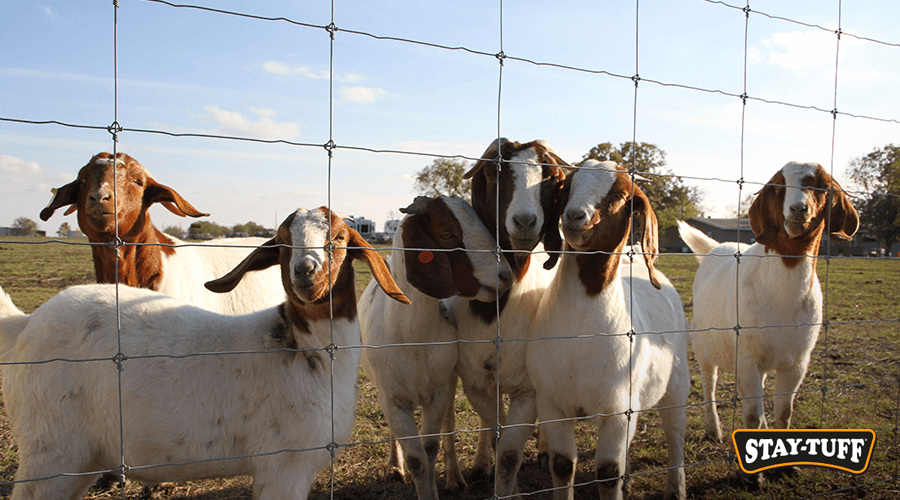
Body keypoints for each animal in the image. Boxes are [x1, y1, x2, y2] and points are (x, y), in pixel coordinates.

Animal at [0, 206, 408, 500]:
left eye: (339, 237)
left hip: (80, 459)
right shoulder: (284, 466)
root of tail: (25, 324)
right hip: (51, 448)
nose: (305, 272)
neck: (307, 347)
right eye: (282, 242)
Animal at [358, 195, 512, 500]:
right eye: (446, 234)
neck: (413, 336)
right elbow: (416, 459)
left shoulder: (439, 390)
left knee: (451, 424)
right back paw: (395, 467)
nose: (505, 276)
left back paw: (458, 477)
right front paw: (405, 469)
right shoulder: (393, 398)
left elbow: (430, 449)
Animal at [446, 138, 568, 496]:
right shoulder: (474, 380)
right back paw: (479, 466)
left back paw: (544, 450)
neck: (494, 312)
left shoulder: (528, 389)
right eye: (490, 173)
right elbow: (495, 432)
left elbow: (511, 454)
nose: (525, 221)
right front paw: (487, 467)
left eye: (551, 177)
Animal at [528, 161, 688, 500]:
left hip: (677, 381)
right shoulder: (552, 403)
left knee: (675, 431)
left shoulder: (617, 410)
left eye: (619, 195)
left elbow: (607, 471)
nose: (574, 216)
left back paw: (676, 487)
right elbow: (563, 465)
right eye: (568, 187)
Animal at [680, 162, 860, 444]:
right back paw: (713, 429)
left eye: (822, 186)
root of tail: (718, 246)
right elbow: (752, 417)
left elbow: (784, 413)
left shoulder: (797, 363)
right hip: (703, 344)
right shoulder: (747, 357)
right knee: (709, 383)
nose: (798, 209)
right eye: (777, 186)